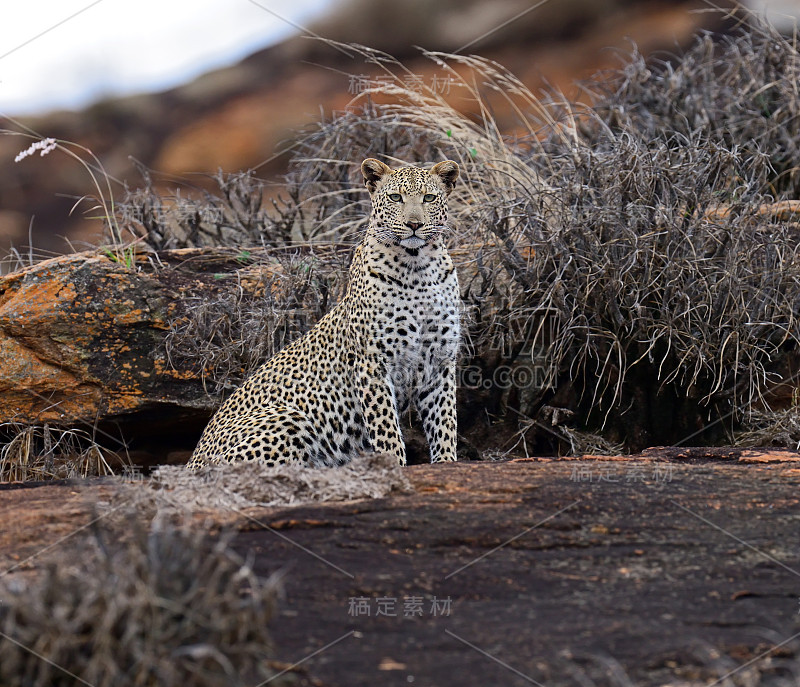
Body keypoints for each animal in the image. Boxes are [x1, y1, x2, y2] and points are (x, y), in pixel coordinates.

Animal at [187, 157, 460, 468]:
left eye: (429, 198)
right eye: (395, 198)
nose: (414, 224)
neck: (419, 269)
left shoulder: (441, 362)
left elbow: (444, 423)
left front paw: (447, 463)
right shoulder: (372, 363)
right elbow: (386, 428)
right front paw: (394, 466)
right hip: (287, 418)